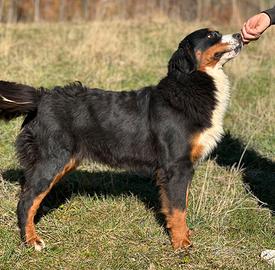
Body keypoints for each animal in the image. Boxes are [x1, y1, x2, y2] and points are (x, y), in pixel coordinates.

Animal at [0, 28, 242, 252]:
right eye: (212, 35)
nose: (240, 35)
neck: (189, 86)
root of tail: (42, 97)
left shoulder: (182, 168)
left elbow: (179, 204)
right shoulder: (176, 166)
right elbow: (178, 209)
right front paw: (181, 244)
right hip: (52, 160)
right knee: (26, 201)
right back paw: (32, 240)